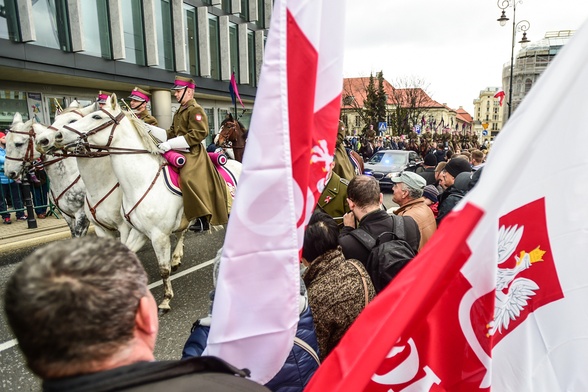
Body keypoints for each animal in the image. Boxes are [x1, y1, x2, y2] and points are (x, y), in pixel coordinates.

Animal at [52, 94, 241, 310]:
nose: (58, 136)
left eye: (96, 117)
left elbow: (163, 269)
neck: (140, 181)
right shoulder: (138, 231)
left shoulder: (158, 236)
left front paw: (166, 299)